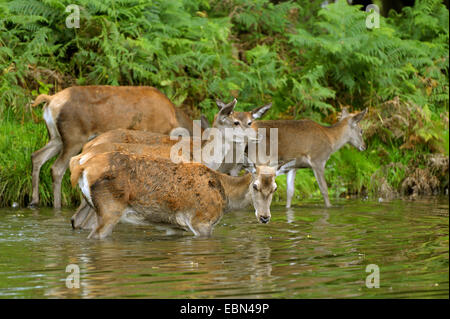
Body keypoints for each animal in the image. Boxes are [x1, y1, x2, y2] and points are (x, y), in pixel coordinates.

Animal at [28, 85, 197, 210]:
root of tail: (50, 100)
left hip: (56, 137)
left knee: (37, 156)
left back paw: (34, 201)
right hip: (74, 137)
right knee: (57, 168)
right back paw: (56, 207)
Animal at [70, 152, 278, 240]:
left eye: (274, 188)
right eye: (255, 186)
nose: (265, 217)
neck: (225, 196)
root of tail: (81, 164)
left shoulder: (175, 227)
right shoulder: (201, 221)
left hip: (93, 207)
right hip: (110, 208)